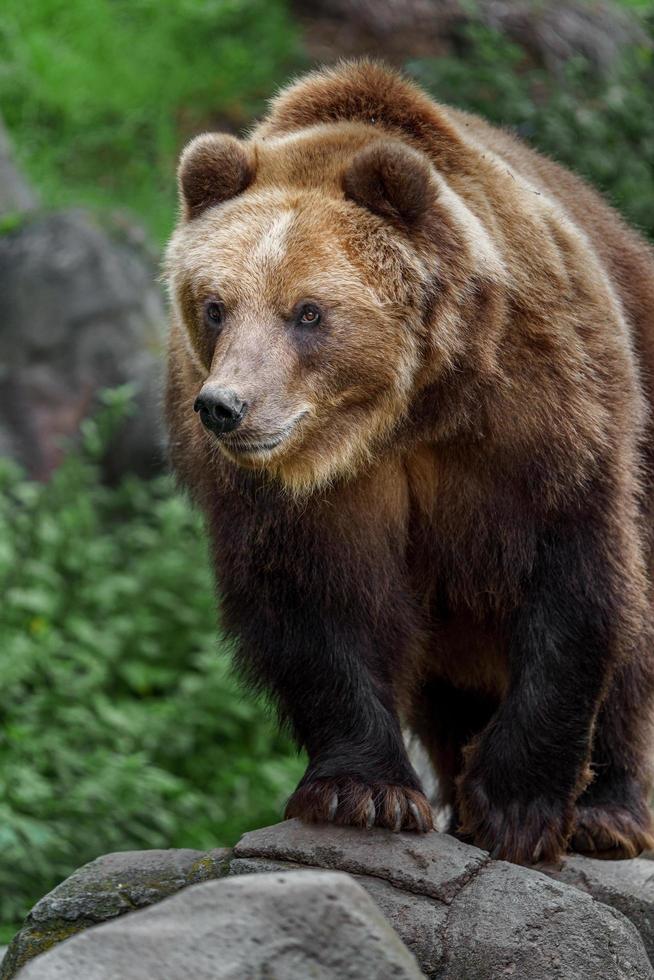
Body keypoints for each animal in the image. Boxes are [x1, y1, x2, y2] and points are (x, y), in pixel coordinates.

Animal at [163, 57, 654, 860]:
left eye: (308, 312)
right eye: (215, 305)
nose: (226, 407)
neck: (404, 413)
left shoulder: (543, 410)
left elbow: (574, 577)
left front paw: (518, 807)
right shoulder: (307, 494)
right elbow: (318, 601)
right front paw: (365, 793)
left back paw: (608, 815)